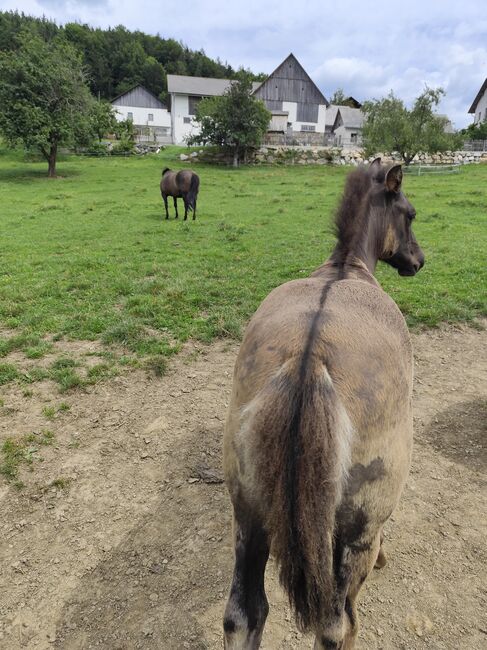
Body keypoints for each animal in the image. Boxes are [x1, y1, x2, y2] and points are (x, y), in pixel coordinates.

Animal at [223, 158, 426, 648]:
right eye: (409, 214)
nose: (418, 260)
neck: (344, 269)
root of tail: (308, 361)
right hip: (352, 536)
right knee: (337, 624)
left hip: (249, 516)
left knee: (243, 614)